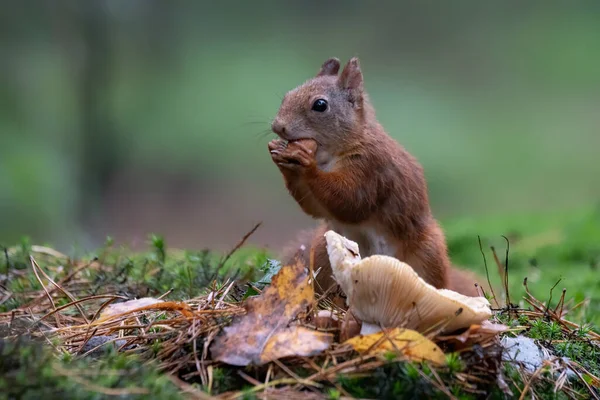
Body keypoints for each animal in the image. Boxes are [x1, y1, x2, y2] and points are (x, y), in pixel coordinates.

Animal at [270, 57, 480, 298]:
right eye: (287, 95)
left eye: (320, 105)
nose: (278, 126)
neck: (334, 153)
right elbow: (316, 208)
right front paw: (279, 155)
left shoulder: (372, 168)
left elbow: (351, 202)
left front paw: (306, 163)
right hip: (323, 251)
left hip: (427, 254)